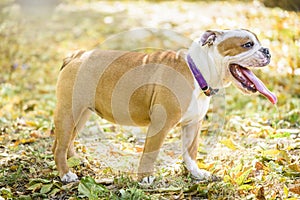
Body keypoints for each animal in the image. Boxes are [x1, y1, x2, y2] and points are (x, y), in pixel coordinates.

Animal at [52, 28, 278, 183]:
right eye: (247, 45)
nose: (268, 51)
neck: (198, 72)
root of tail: (77, 55)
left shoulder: (193, 125)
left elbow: (191, 151)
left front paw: (196, 172)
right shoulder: (160, 124)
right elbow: (150, 152)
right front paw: (144, 178)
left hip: (81, 114)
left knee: (67, 140)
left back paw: (76, 161)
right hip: (69, 111)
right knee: (59, 146)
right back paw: (66, 174)